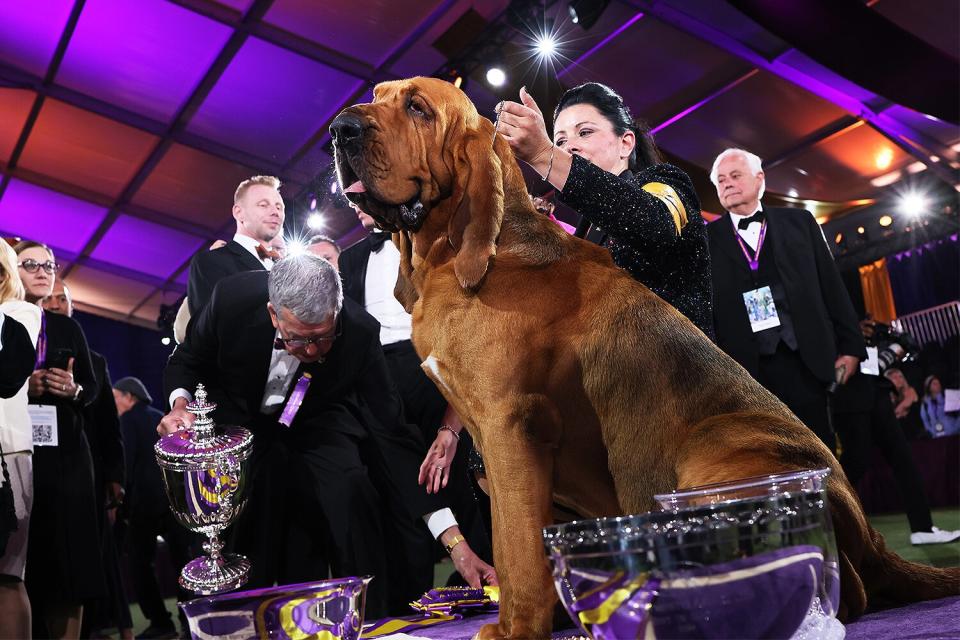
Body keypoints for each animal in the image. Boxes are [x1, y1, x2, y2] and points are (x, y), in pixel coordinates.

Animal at [332, 77, 960, 636]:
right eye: (378, 96)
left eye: (417, 108)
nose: (340, 130)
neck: (456, 255)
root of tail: (876, 540)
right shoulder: (491, 439)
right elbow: (516, 545)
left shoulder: (512, 428)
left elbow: (517, 549)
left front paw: (516, 629)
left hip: (714, 464)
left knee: (843, 587)